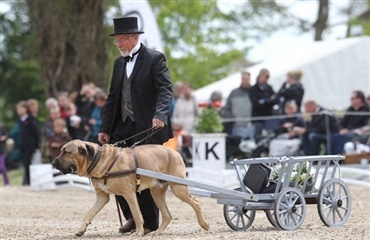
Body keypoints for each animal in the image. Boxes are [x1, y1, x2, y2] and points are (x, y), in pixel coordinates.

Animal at [51, 140, 210, 237]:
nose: (52, 163)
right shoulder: (102, 197)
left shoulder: (129, 194)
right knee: (167, 215)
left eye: (66, 152)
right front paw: (81, 229)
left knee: (196, 203)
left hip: (178, 188)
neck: (97, 159)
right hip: (156, 192)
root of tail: (175, 152)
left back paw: (204, 224)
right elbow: (89, 213)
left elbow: (137, 214)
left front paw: (138, 233)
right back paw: (158, 232)